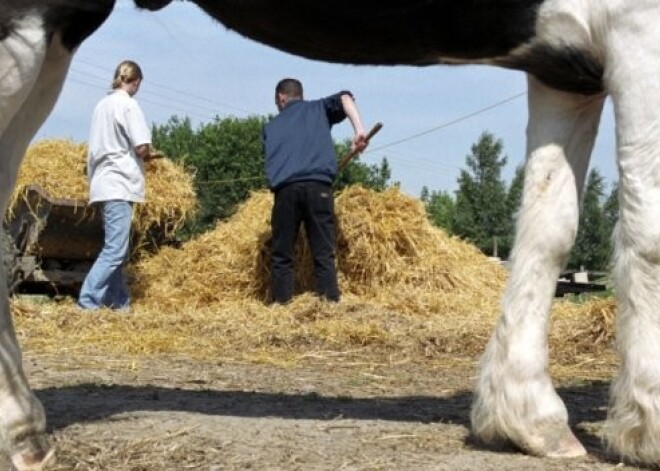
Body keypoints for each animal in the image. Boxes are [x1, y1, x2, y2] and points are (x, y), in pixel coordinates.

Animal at [3, 1, 660, 470]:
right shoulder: (638, 31)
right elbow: (647, 230)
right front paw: (646, 426)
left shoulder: (565, 68)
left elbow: (549, 229)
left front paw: (528, 417)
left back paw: (25, 433)